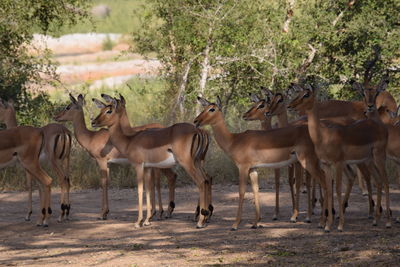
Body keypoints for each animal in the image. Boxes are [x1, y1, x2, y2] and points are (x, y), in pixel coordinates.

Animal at [90, 98, 209, 228]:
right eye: (101, 109)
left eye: (109, 110)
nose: (93, 122)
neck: (130, 140)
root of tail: (198, 130)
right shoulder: (147, 168)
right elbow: (148, 189)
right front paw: (147, 220)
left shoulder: (138, 166)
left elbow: (140, 190)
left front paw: (138, 222)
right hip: (197, 162)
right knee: (206, 180)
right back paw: (204, 218)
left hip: (187, 163)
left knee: (201, 182)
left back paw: (200, 222)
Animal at [194, 97, 332, 232]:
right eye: (204, 107)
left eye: (212, 109)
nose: (196, 121)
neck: (234, 140)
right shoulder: (253, 169)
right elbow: (256, 190)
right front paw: (256, 223)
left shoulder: (243, 168)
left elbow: (242, 192)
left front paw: (235, 224)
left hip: (307, 161)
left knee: (324, 183)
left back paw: (323, 224)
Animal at [288, 82, 390, 231]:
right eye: (298, 93)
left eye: (306, 94)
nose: (290, 105)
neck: (323, 136)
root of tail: (380, 125)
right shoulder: (326, 164)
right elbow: (328, 188)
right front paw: (327, 225)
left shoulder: (338, 163)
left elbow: (337, 189)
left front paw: (340, 225)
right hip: (369, 160)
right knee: (378, 180)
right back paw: (375, 220)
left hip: (379, 156)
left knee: (385, 181)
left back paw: (387, 222)